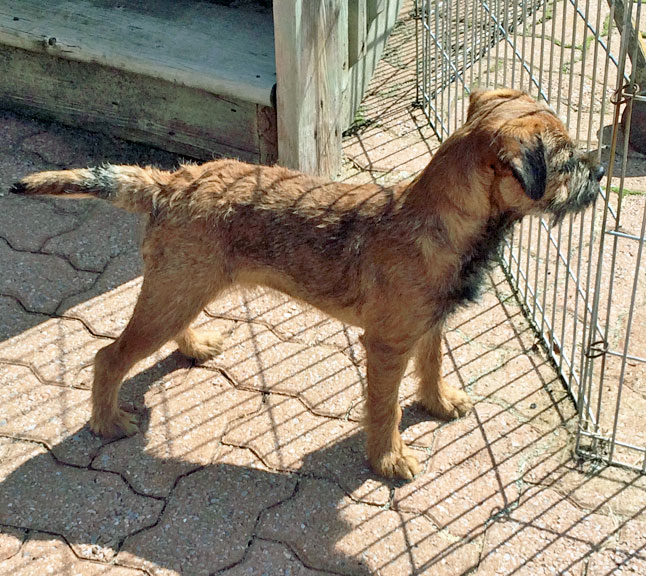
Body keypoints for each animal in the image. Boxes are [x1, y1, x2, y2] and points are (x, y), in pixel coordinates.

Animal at [11, 89, 604, 480]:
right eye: (564, 161)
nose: (600, 173)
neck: (435, 219)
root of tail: (169, 182)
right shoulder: (386, 346)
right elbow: (384, 408)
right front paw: (388, 458)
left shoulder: (428, 325)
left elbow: (432, 363)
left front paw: (438, 402)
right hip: (172, 293)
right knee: (108, 356)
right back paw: (107, 422)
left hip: (181, 288)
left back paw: (195, 346)